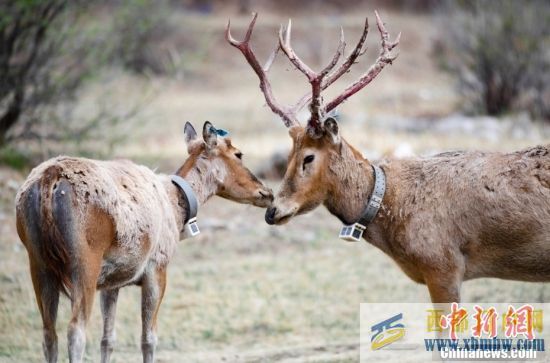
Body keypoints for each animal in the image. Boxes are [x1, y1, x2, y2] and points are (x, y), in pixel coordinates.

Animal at [16, 122, 274, 363]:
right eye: (238, 154)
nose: (267, 193)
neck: (177, 210)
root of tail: (49, 178)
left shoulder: (111, 282)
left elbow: (108, 339)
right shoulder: (156, 268)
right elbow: (149, 338)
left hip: (38, 262)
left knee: (49, 334)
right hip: (84, 261)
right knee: (75, 331)